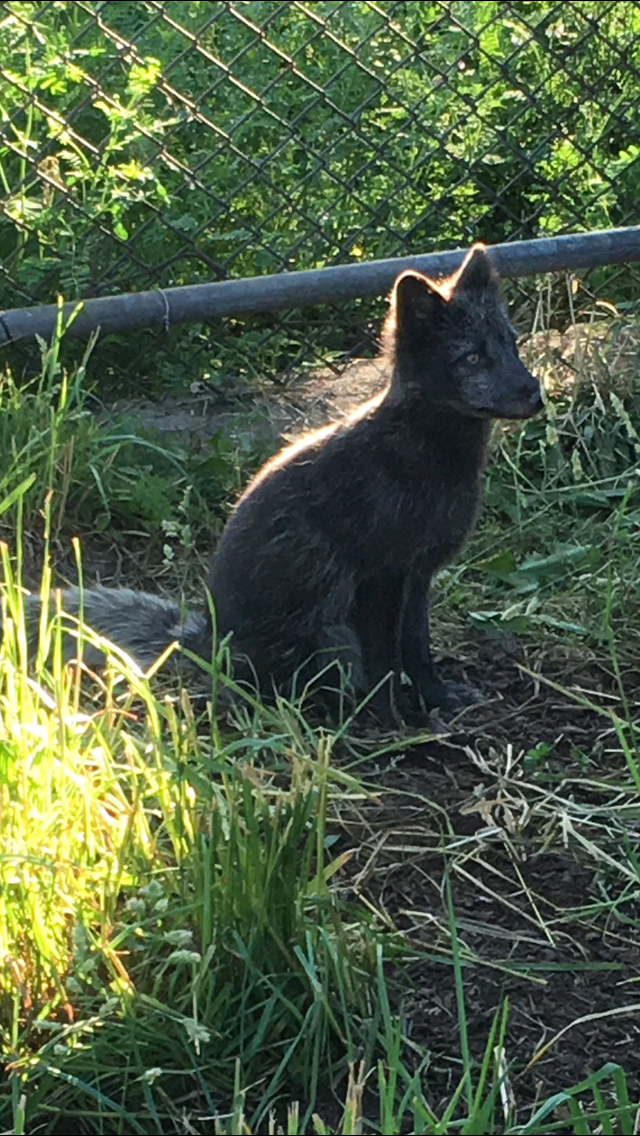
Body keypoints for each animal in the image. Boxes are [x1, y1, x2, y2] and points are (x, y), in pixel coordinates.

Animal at [13, 244, 542, 725]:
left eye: (512, 343)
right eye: (472, 356)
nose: (536, 393)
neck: (424, 456)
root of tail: (206, 644)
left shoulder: (418, 577)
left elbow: (417, 650)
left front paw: (439, 700)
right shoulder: (382, 579)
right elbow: (387, 665)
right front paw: (398, 723)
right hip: (333, 640)